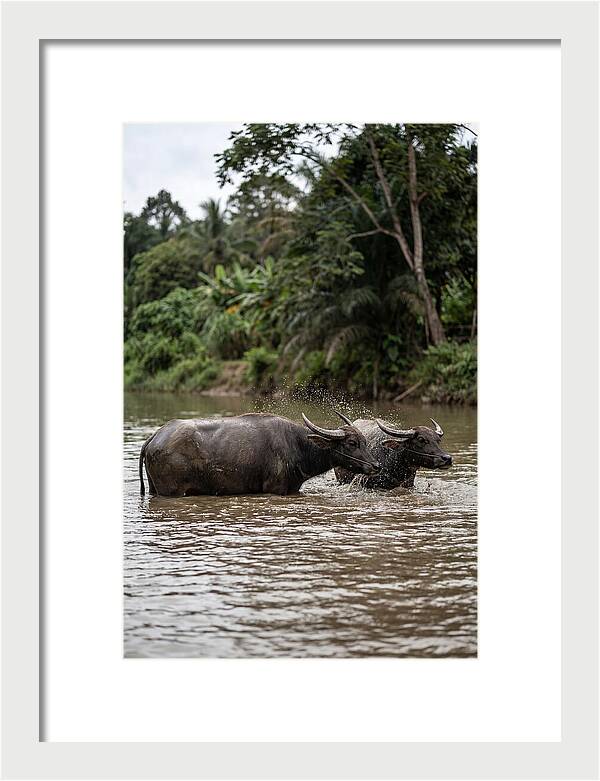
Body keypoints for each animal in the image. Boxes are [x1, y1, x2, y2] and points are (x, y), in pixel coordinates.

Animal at [139, 412, 380, 497]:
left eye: (365, 441)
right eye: (352, 443)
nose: (376, 465)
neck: (298, 445)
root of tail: (154, 437)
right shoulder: (276, 488)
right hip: (172, 491)